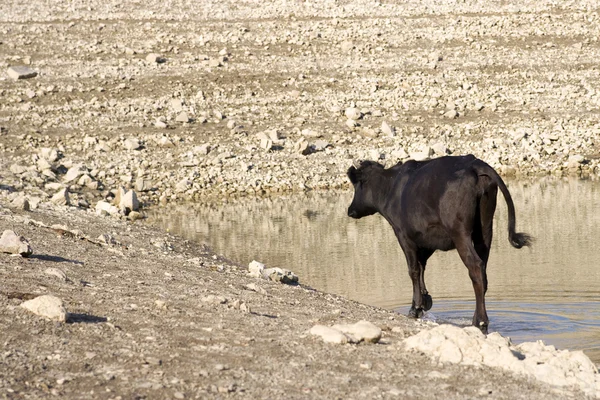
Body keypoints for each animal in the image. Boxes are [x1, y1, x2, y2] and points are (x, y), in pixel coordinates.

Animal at [344, 155, 532, 332]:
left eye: (356, 185)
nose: (350, 210)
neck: (390, 187)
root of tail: (475, 164)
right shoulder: (428, 240)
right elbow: (421, 267)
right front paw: (424, 301)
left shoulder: (403, 235)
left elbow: (413, 270)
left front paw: (415, 308)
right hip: (485, 228)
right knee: (483, 269)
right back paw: (475, 318)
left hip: (460, 232)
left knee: (476, 267)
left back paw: (481, 321)